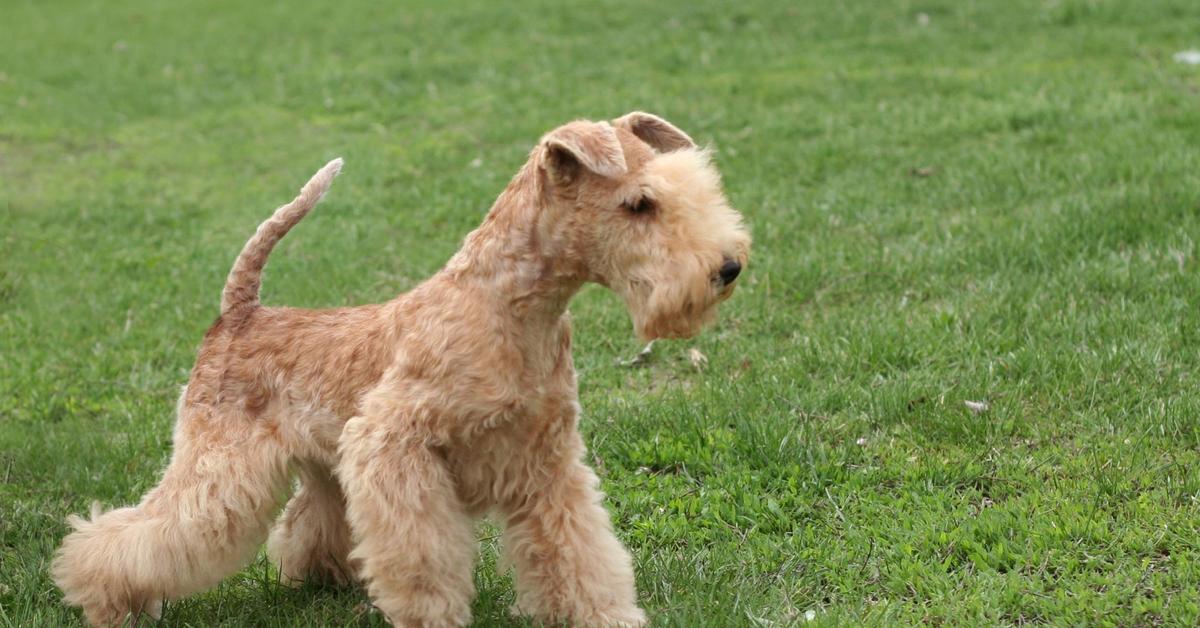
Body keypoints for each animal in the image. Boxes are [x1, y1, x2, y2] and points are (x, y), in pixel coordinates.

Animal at [56, 114, 753, 628]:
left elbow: (579, 554)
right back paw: (105, 598)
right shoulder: (394, 445)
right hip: (219, 465)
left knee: (306, 522)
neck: (510, 308)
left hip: (324, 465)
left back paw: (324, 576)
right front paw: (430, 614)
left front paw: (603, 614)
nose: (727, 267)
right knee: (136, 534)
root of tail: (240, 312)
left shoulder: (548, 463)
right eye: (639, 203)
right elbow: (424, 557)